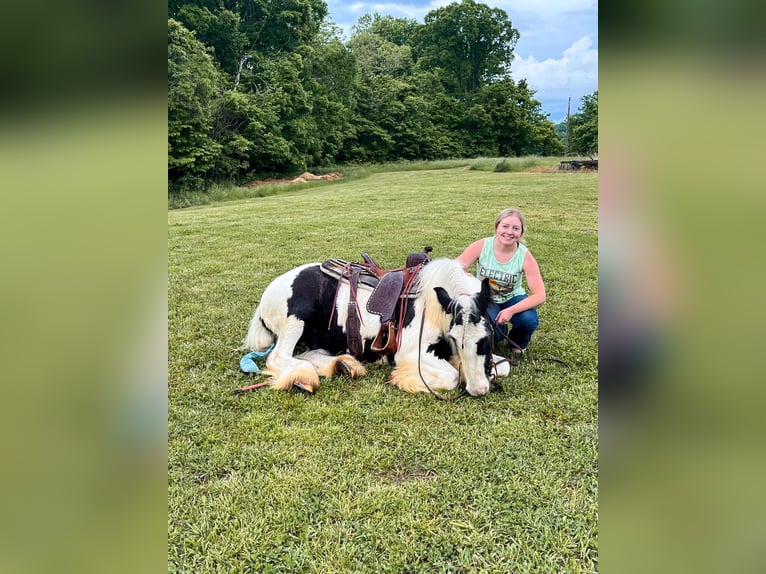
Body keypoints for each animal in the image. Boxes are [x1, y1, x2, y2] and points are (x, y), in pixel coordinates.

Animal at [243, 258, 512, 398]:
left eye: (486, 337)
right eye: (456, 339)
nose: (478, 389)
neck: (435, 306)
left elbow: (504, 366)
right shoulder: (411, 352)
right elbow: (451, 376)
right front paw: (404, 378)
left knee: (309, 354)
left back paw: (344, 366)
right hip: (295, 322)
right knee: (280, 358)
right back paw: (303, 378)